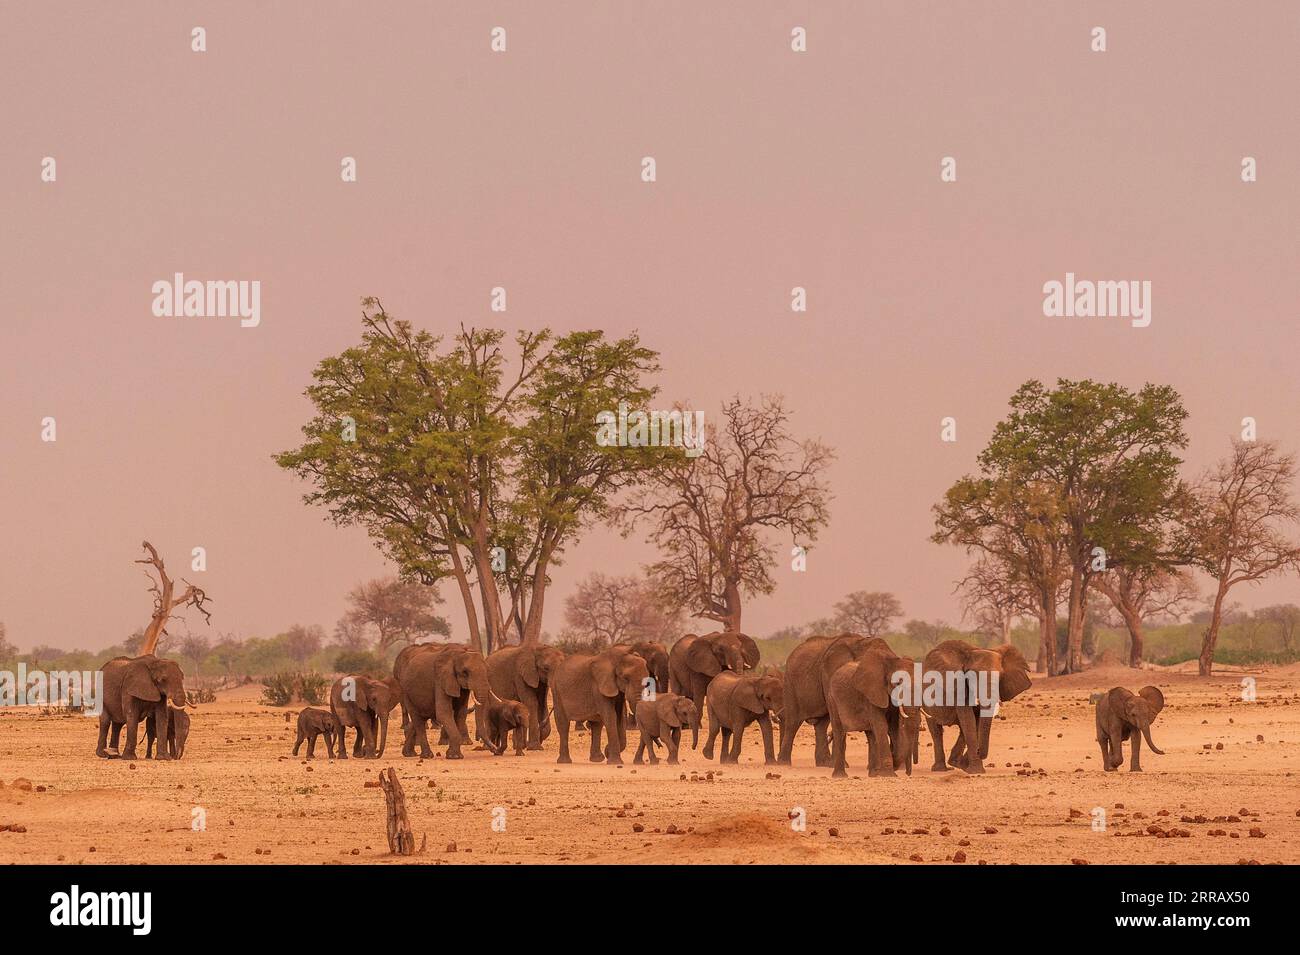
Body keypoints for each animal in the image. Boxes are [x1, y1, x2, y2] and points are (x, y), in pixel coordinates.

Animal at [780, 634, 873, 769]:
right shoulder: (830, 673)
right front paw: (842, 765)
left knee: (822, 724)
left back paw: (824, 763)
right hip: (790, 684)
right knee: (793, 722)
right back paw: (783, 763)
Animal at [920, 639, 1029, 774]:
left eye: (1001, 676)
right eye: (972, 676)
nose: (979, 752)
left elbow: (975, 721)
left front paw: (966, 766)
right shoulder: (959, 686)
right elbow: (969, 719)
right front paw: (976, 771)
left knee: (962, 729)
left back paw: (955, 763)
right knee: (936, 731)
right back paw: (941, 769)